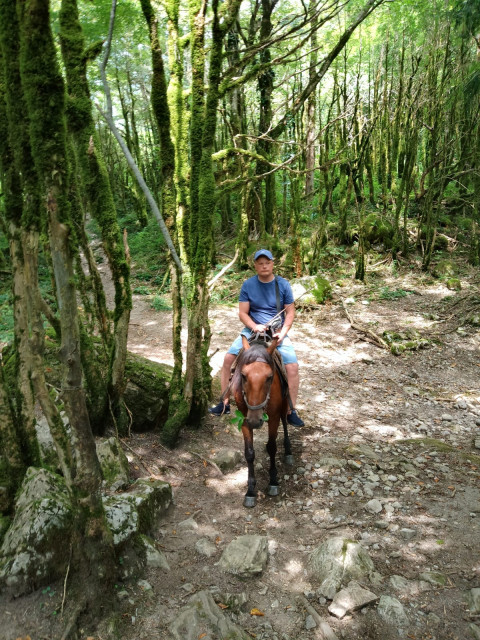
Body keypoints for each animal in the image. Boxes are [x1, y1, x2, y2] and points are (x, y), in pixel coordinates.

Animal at [232, 336, 294, 510]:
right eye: (243, 375)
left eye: (269, 377)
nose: (255, 420)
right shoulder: (244, 419)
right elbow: (249, 453)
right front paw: (250, 491)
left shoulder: (273, 417)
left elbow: (272, 447)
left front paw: (273, 482)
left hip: (284, 406)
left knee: (285, 421)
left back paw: (288, 451)